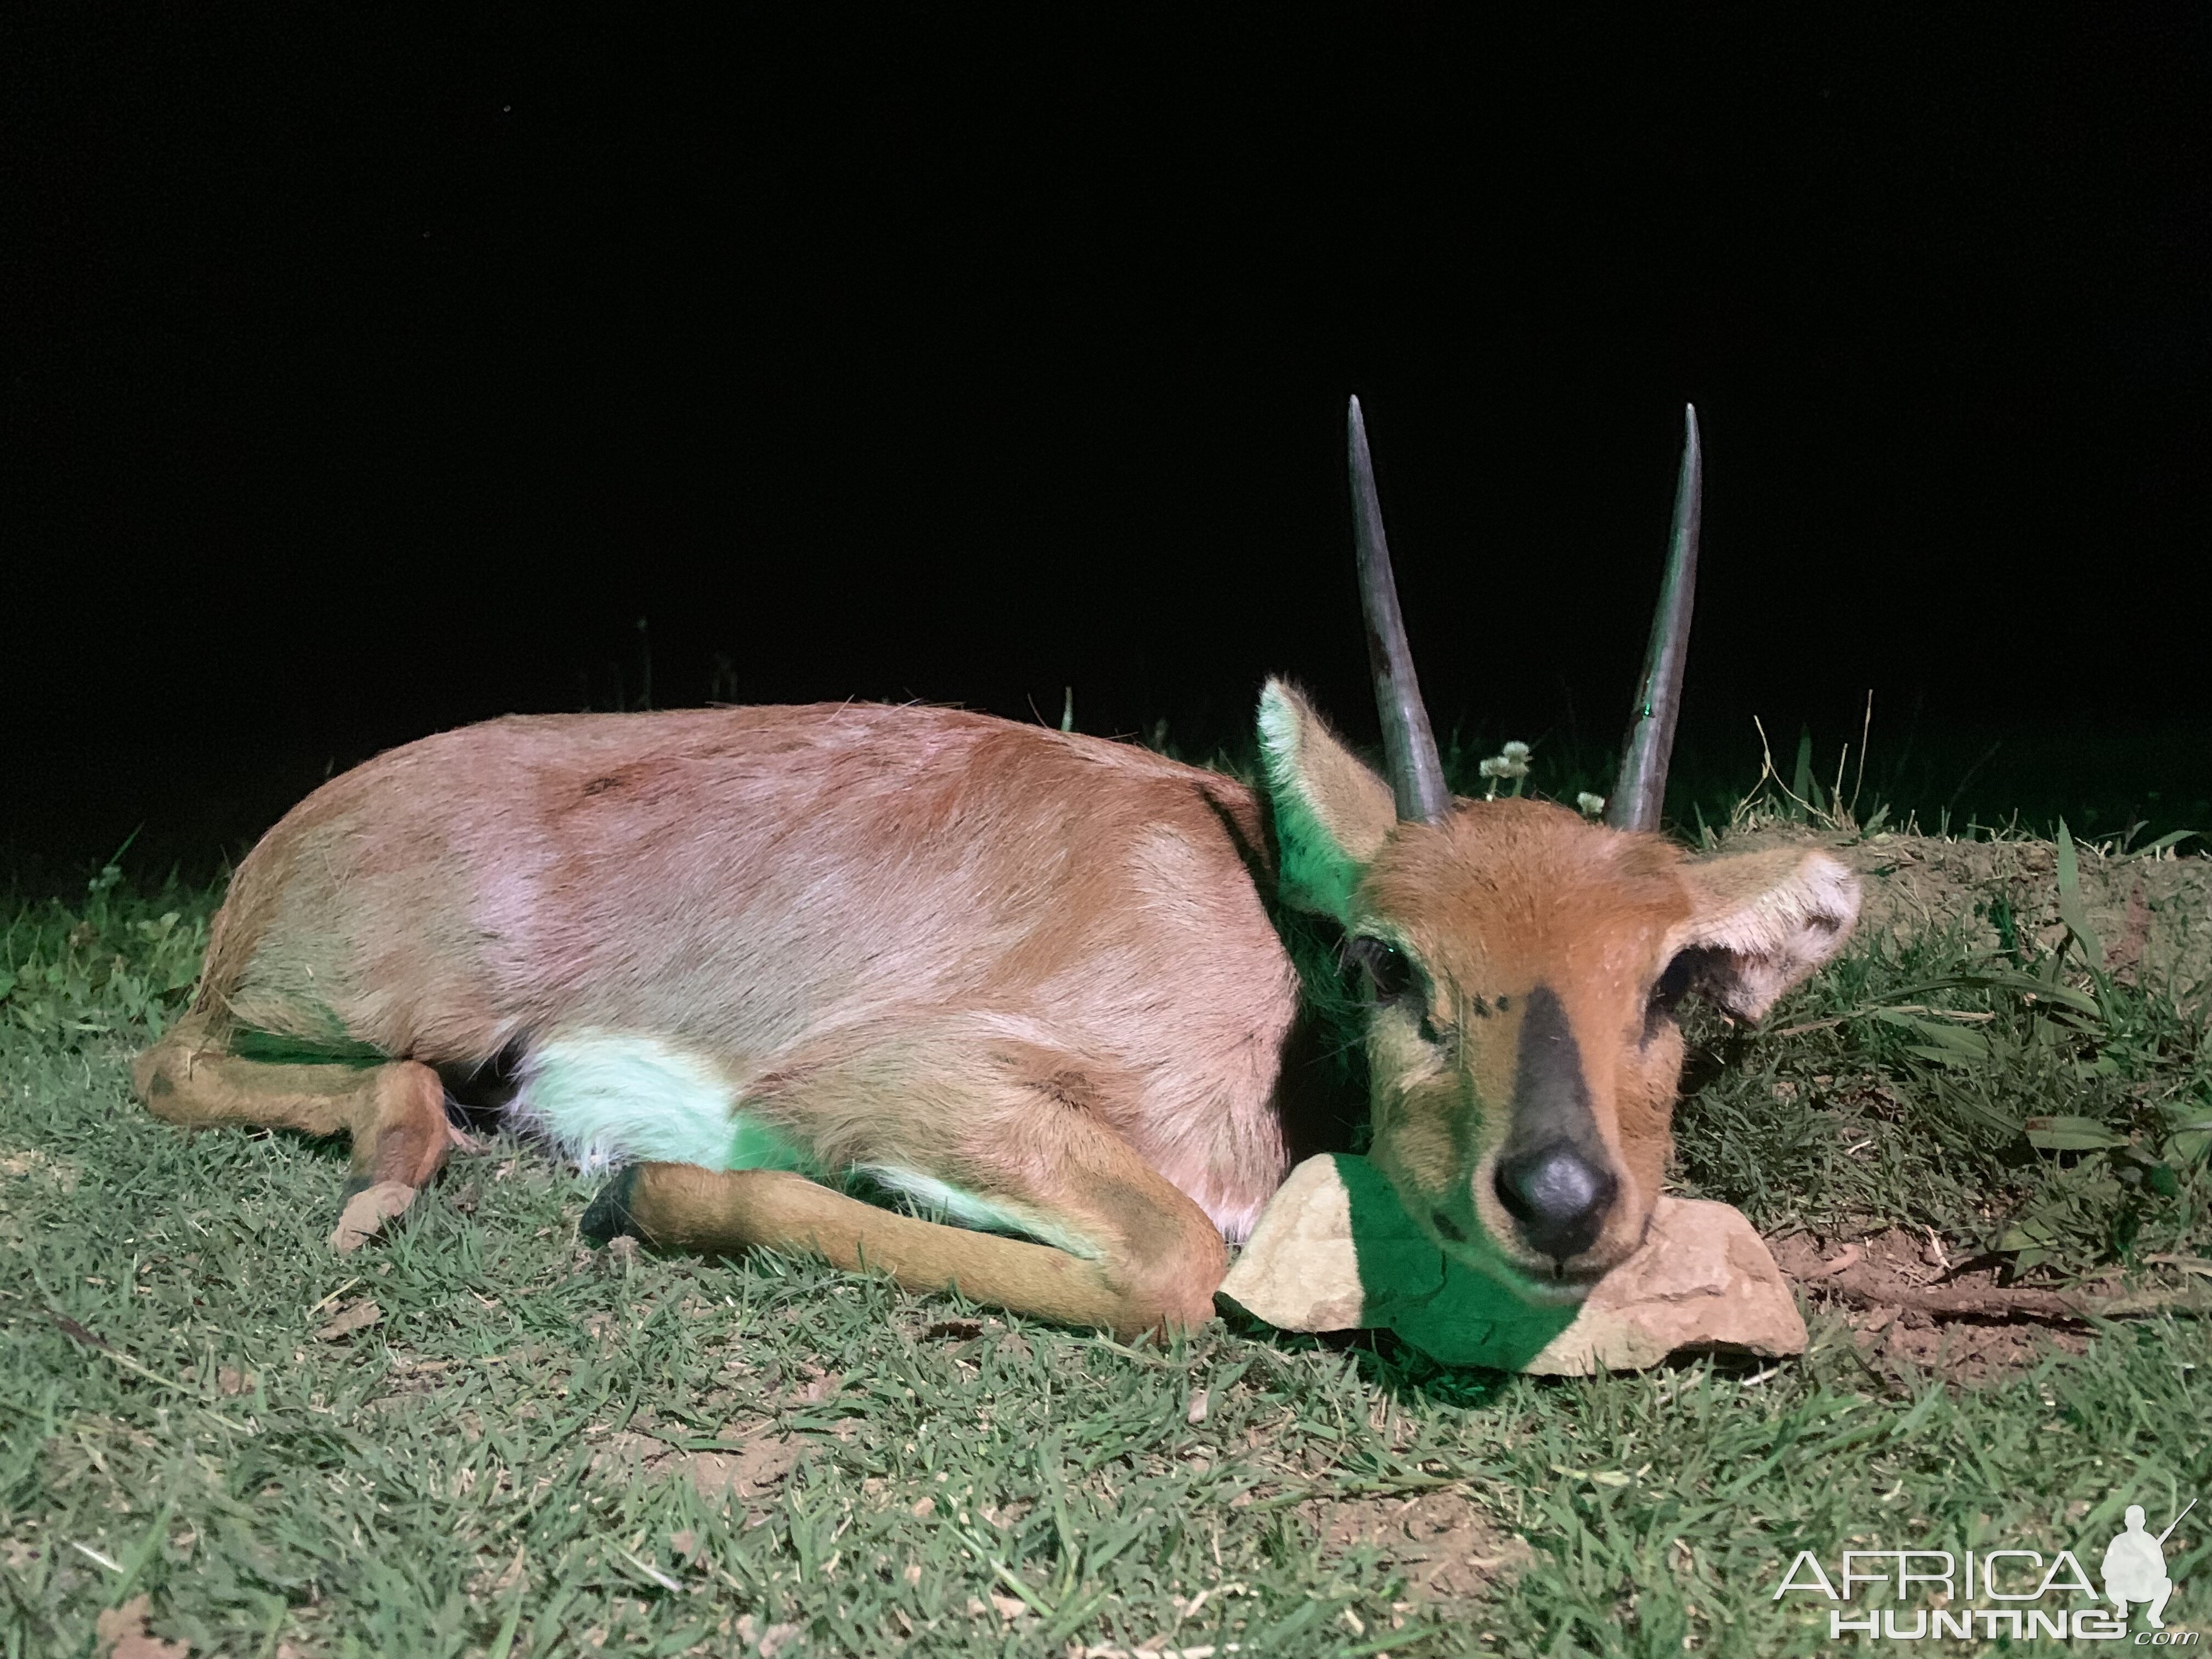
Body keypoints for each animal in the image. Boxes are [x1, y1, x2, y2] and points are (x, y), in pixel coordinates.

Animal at [133, 400, 1849, 1336]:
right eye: (1390, 959)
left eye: (1675, 978)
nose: (1562, 1199)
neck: (1264, 949)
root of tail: (287, 845)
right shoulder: (893, 1080)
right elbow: (1170, 1266)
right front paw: (639, 1194)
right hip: (383, 1007)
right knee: (172, 1064)